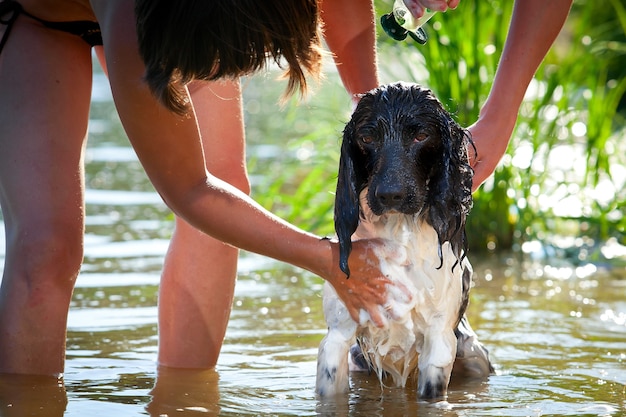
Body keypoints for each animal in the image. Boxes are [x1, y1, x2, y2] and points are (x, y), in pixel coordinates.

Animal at [316, 81, 492, 396]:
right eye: (367, 137)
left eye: (421, 136)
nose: (390, 195)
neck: (398, 235)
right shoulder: (337, 336)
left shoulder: (439, 340)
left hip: (473, 355)